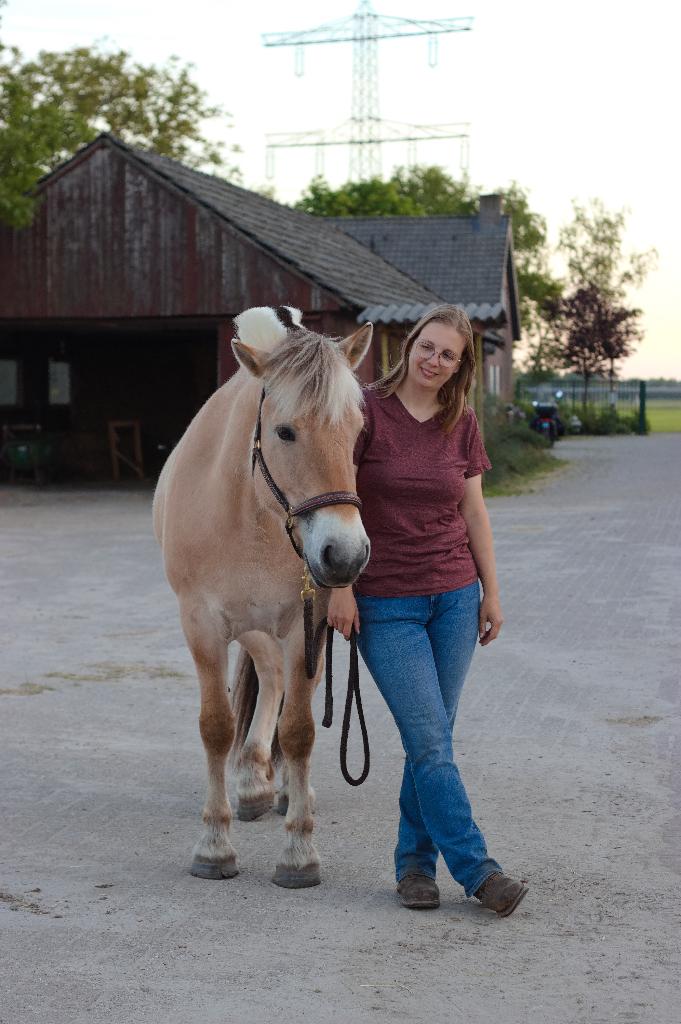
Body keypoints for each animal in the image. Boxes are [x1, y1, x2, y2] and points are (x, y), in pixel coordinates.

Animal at [153, 305, 372, 888]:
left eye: (358, 431)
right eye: (285, 431)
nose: (344, 555)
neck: (251, 511)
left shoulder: (305, 622)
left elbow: (298, 731)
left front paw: (299, 852)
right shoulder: (202, 624)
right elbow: (216, 726)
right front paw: (214, 845)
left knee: (284, 687)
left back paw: (287, 789)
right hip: (250, 627)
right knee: (268, 677)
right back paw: (252, 783)